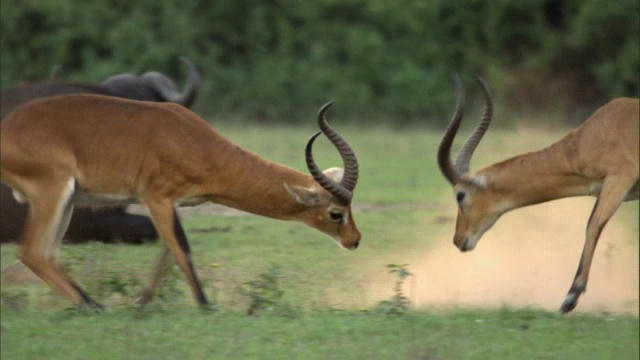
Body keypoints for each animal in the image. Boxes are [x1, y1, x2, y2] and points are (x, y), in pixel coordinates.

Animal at [0, 94, 360, 308]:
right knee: (33, 251)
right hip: (52, 192)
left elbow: (168, 251)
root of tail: (8, 127)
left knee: (47, 254)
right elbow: (182, 250)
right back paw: (94, 307)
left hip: (68, 200)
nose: (355, 240)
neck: (193, 141)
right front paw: (205, 306)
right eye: (335, 212)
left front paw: (141, 303)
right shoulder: (156, 198)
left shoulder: (173, 205)